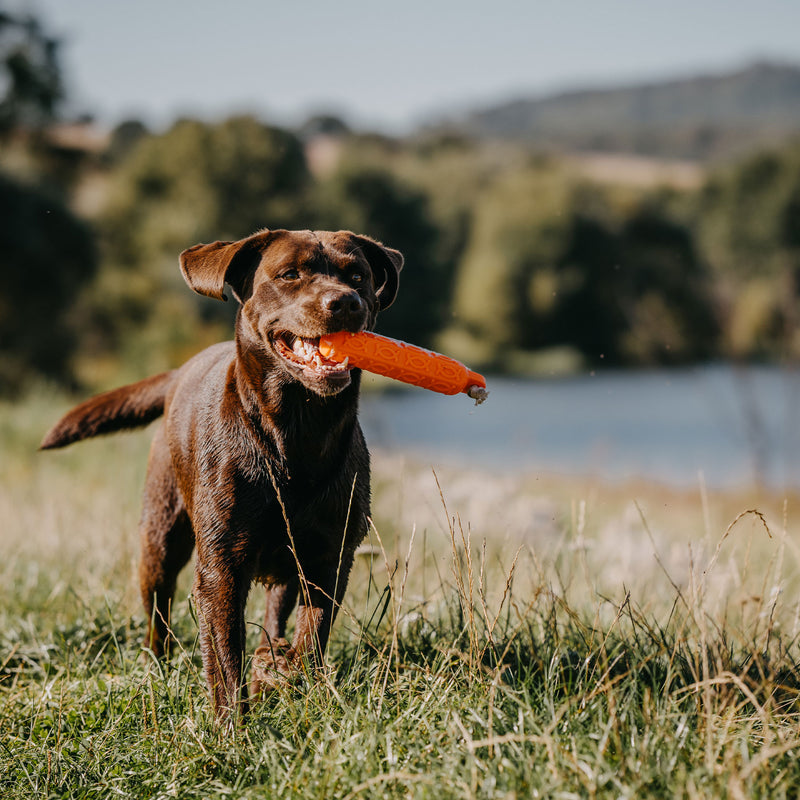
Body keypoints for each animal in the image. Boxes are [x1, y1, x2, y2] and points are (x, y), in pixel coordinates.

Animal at [40, 230, 404, 720]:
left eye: (358, 276)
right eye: (290, 274)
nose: (345, 302)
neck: (296, 433)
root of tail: (179, 372)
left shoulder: (330, 556)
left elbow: (312, 637)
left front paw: (289, 676)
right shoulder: (222, 566)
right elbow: (226, 654)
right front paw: (232, 727)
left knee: (275, 611)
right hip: (160, 537)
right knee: (158, 613)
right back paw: (158, 669)